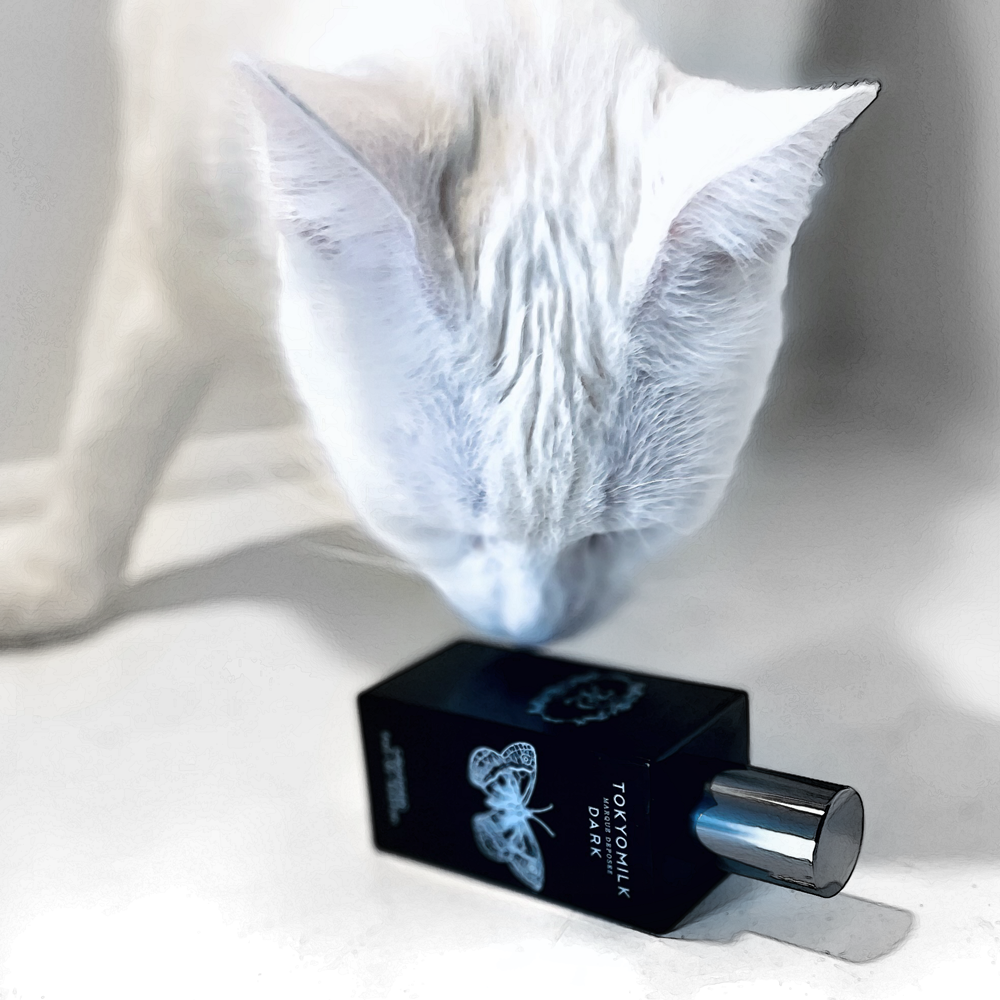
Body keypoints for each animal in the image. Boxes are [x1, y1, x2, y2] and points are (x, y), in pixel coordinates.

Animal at [0, 0, 876, 646]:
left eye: (617, 535)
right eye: (447, 528)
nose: (533, 634)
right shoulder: (159, 258)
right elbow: (108, 435)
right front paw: (50, 586)